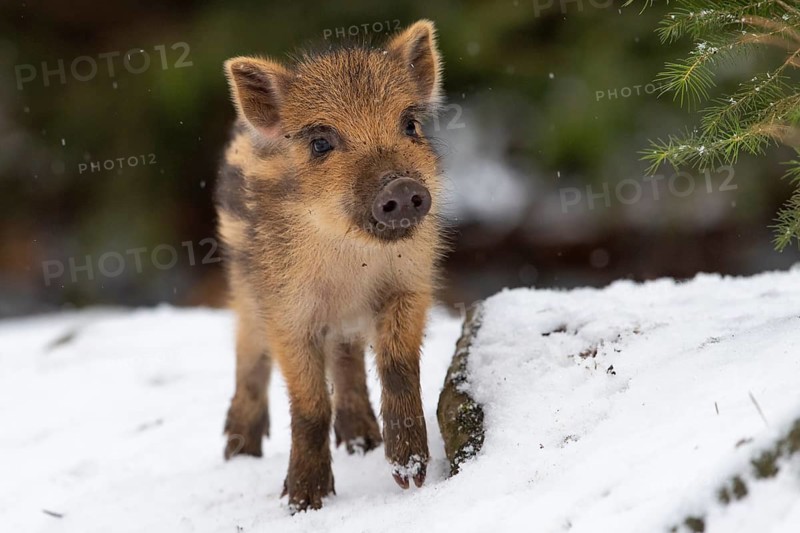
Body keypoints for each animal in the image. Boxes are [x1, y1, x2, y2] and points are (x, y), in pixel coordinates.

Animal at [215, 19, 446, 512]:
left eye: (410, 124)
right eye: (320, 142)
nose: (400, 187)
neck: (351, 262)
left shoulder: (410, 285)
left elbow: (399, 367)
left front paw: (410, 476)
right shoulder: (287, 311)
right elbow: (309, 404)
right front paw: (303, 502)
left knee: (346, 357)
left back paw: (363, 442)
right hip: (244, 287)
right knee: (248, 354)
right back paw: (238, 452)